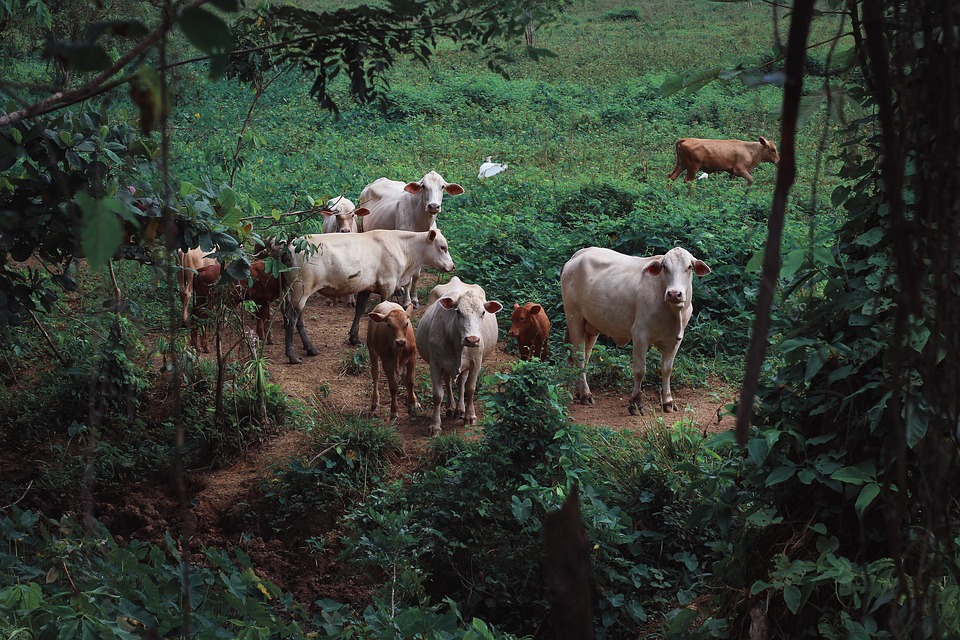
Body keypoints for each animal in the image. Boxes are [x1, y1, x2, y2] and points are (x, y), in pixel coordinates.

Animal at [282, 228, 455, 364]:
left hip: (293, 293)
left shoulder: (365, 287)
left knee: (298, 320)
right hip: (300, 291)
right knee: (292, 319)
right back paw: (292, 355)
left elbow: (360, 310)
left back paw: (310, 348)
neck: (402, 248)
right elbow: (385, 309)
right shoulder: (388, 285)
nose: (452, 266)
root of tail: (291, 245)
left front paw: (354, 338)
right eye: (442, 247)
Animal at [358, 171, 464, 307]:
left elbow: (416, 276)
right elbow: (408, 280)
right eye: (423, 186)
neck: (421, 223)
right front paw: (407, 301)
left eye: (442, 186)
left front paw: (414, 298)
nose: (433, 206)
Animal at [417, 277, 502, 435]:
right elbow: (438, 394)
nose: (472, 339)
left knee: (461, 382)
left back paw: (461, 410)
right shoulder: (435, 363)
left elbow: (470, 388)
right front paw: (435, 425)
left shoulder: (476, 362)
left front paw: (470, 416)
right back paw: (451, 408)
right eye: (458, 312)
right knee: (448, 382)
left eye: (483, 312)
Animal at [560, 246, 711, 416]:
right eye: (664, 267)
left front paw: (668, 401)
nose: (674, 293)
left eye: (689, 267)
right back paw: (585, 394)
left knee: (585, 357)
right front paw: (636, 404)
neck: (673, 313)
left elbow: (667, 369)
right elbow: (640, 370)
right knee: (579, 356)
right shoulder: (640, 335)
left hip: (591, 327)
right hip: (574, 318)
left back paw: (580, 392)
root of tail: (578, 255)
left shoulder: (676, 339)